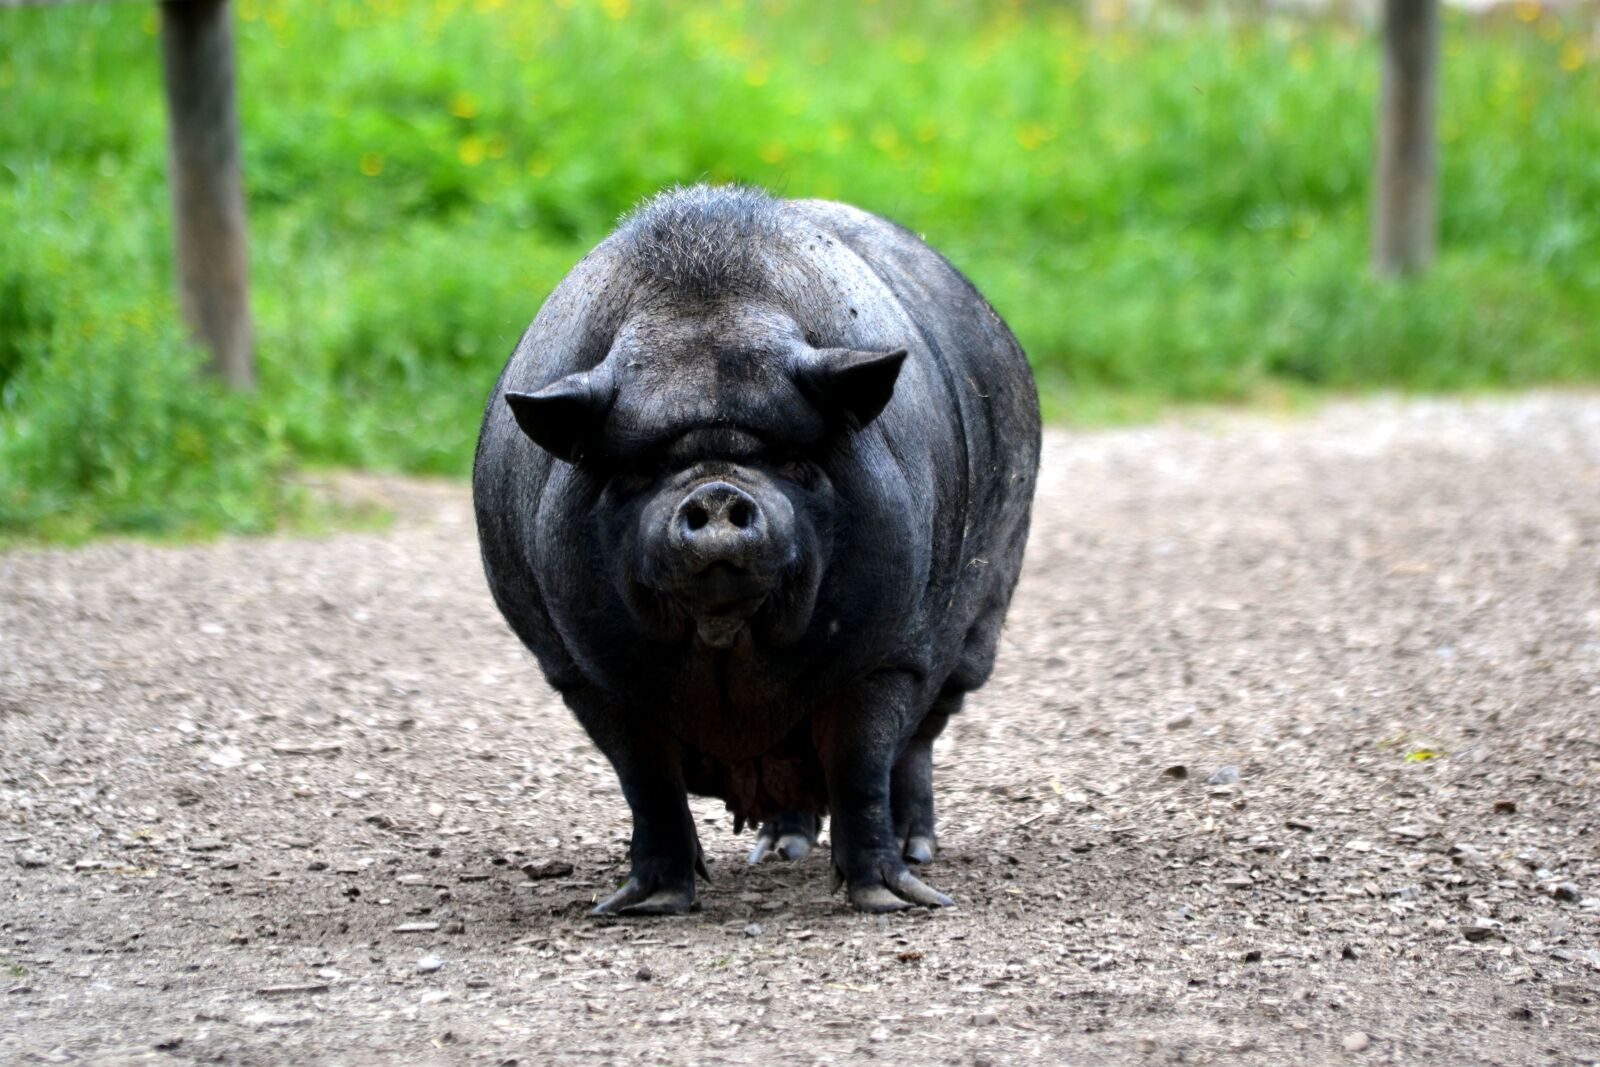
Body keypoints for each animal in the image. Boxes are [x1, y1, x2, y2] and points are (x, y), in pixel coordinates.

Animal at [472, 184, 1040, 913]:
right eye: (639, 471)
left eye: (789, 460)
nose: (717, 492)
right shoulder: (579, 672)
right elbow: (646, 783)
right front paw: (641, 906)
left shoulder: (892, 652)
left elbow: (861, 765)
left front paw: (892, 901)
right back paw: (775, 851)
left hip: (976, 627)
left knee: (915, 745)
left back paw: (915, 851)